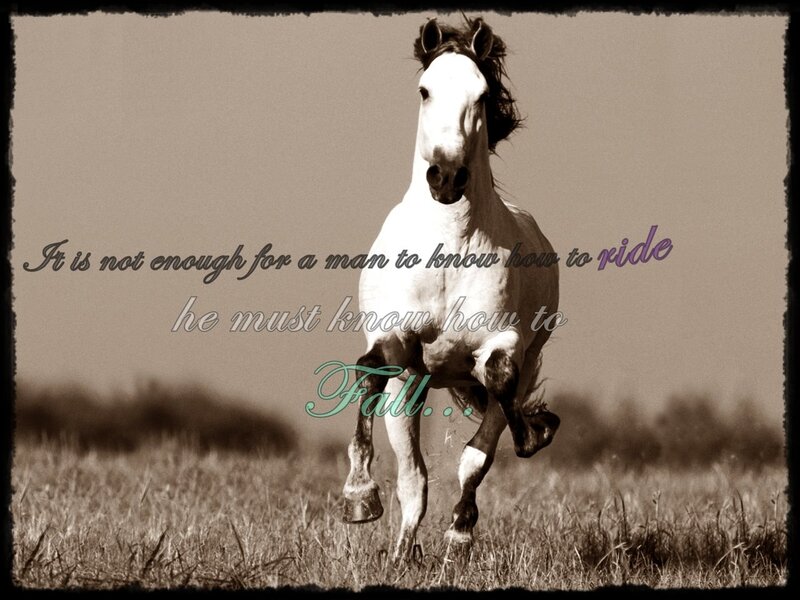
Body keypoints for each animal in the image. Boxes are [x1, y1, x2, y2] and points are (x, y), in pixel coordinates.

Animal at [341, 16, 561, 563]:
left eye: (481, 94)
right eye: (425, 90)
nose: (445, 177)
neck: (448, 244)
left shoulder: (502, 345)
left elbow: (496, 404)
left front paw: (535, 432)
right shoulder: (396, 341)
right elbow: (370, 371)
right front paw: (358, 497)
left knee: (475, 447)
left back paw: (457, 533)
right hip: (413, 387)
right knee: (413, 476)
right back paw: (402, 549)